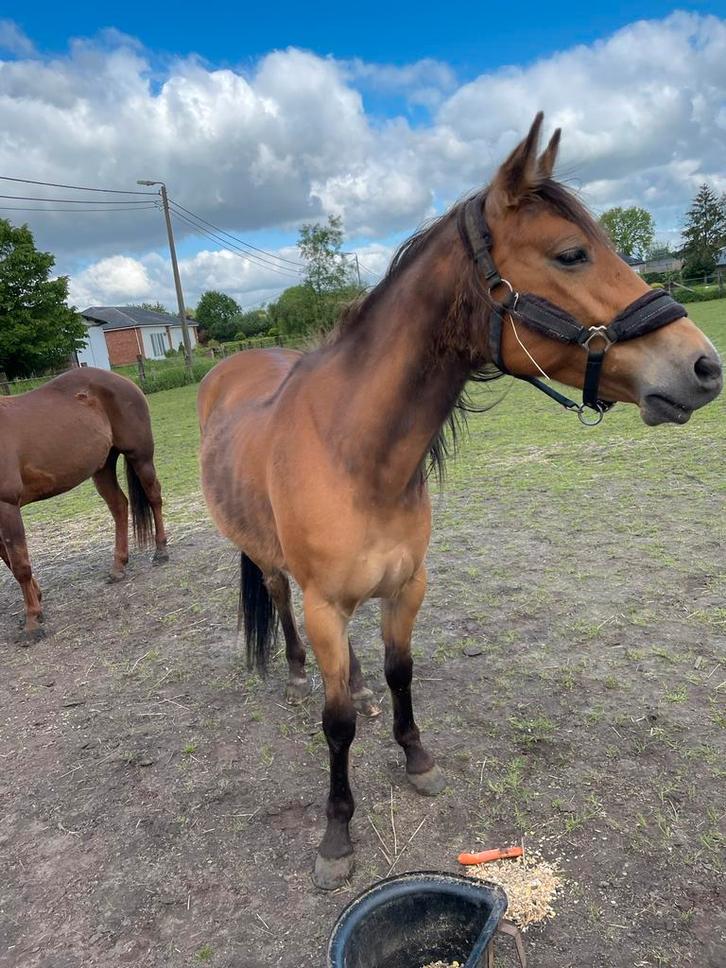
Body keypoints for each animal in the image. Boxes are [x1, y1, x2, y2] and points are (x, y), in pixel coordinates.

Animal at [0, 367, 168, 639]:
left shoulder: (7, 505)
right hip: (102, 467)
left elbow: (19, 564)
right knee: (119, 506)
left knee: (154, 497)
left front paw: (32, 622)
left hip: (140, 456)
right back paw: (118, 566)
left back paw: (161, 551)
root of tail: (124, 380)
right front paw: (38, 600)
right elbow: (10, 561)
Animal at [198, 114, 722, 890]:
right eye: (571, 254)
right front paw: (336, 835)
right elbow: (335, 726)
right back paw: (294, 671)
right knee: (277, 597)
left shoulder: (407, 586)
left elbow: (400, 672)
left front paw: (415, 756)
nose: (704, 367)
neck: (353, 452)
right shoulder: (326, 604)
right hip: (267, 562)